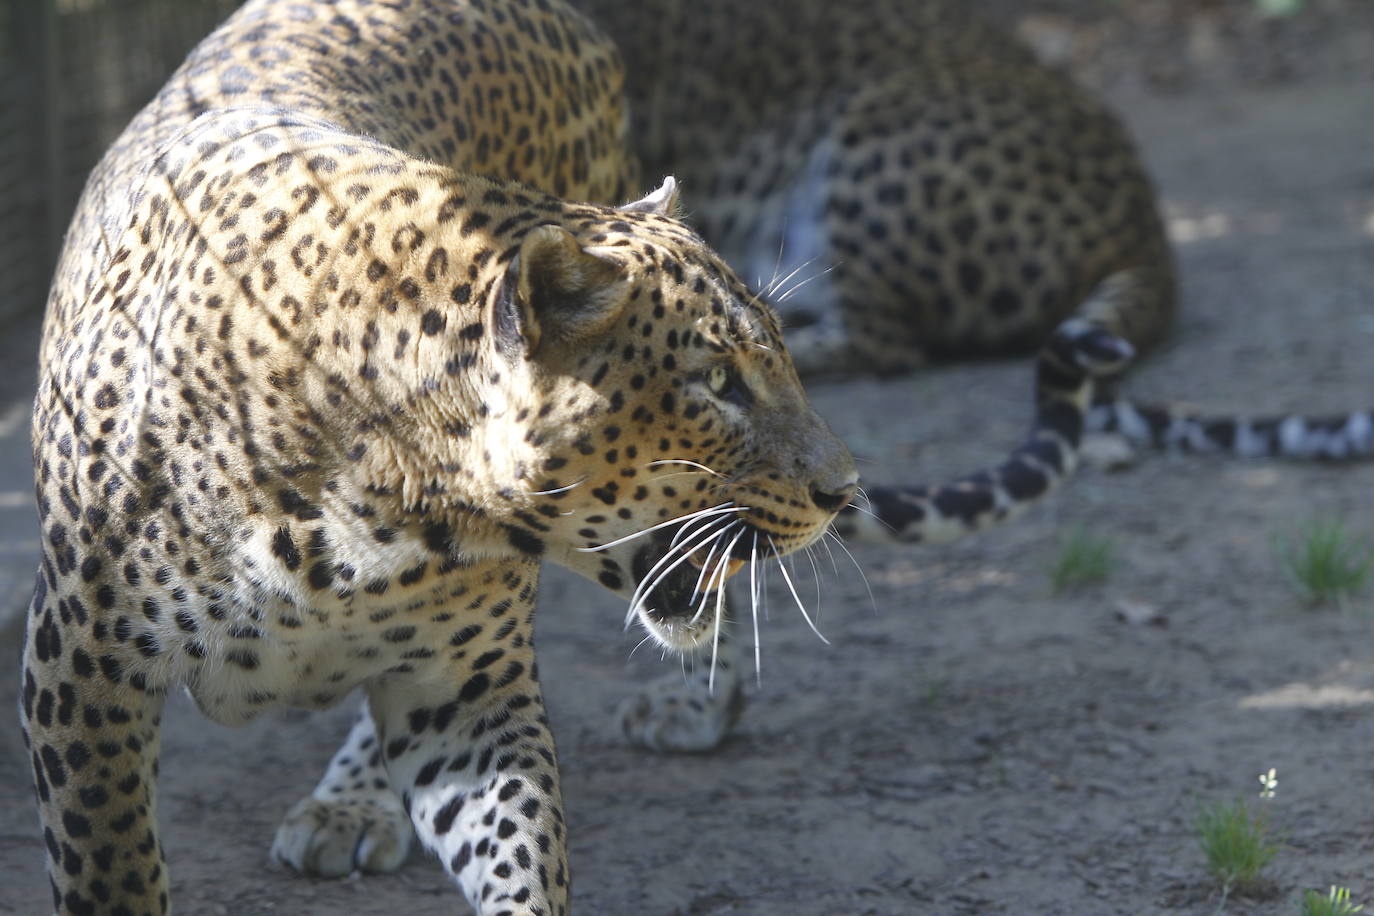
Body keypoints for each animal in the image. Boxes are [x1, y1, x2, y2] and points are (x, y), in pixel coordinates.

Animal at [16, 3, 868, 911]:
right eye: (717, 383)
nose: (843, 489)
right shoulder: (81, 665)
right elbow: (111, 866)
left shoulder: (468, 690)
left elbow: (524, 856)